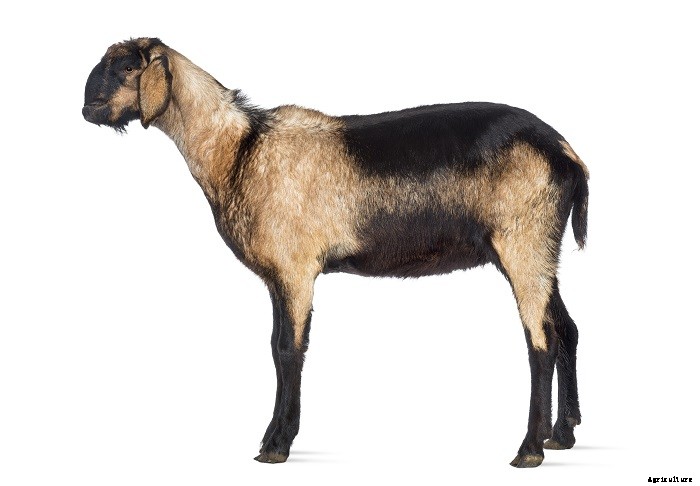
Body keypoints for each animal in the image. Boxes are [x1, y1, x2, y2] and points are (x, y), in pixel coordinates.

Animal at [83, 37, 588, 468]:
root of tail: (566, 153)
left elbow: (288, 349)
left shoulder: (296, 268)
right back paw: (562, 434)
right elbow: (276, 346)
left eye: (128, 67)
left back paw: (529, 449)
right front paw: (272, 438)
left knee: (540, 341)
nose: (88, 108)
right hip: (542, 249)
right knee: (566, 328)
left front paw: (276, 445)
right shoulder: (278, 276)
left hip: (523, 241)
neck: (241, 150)